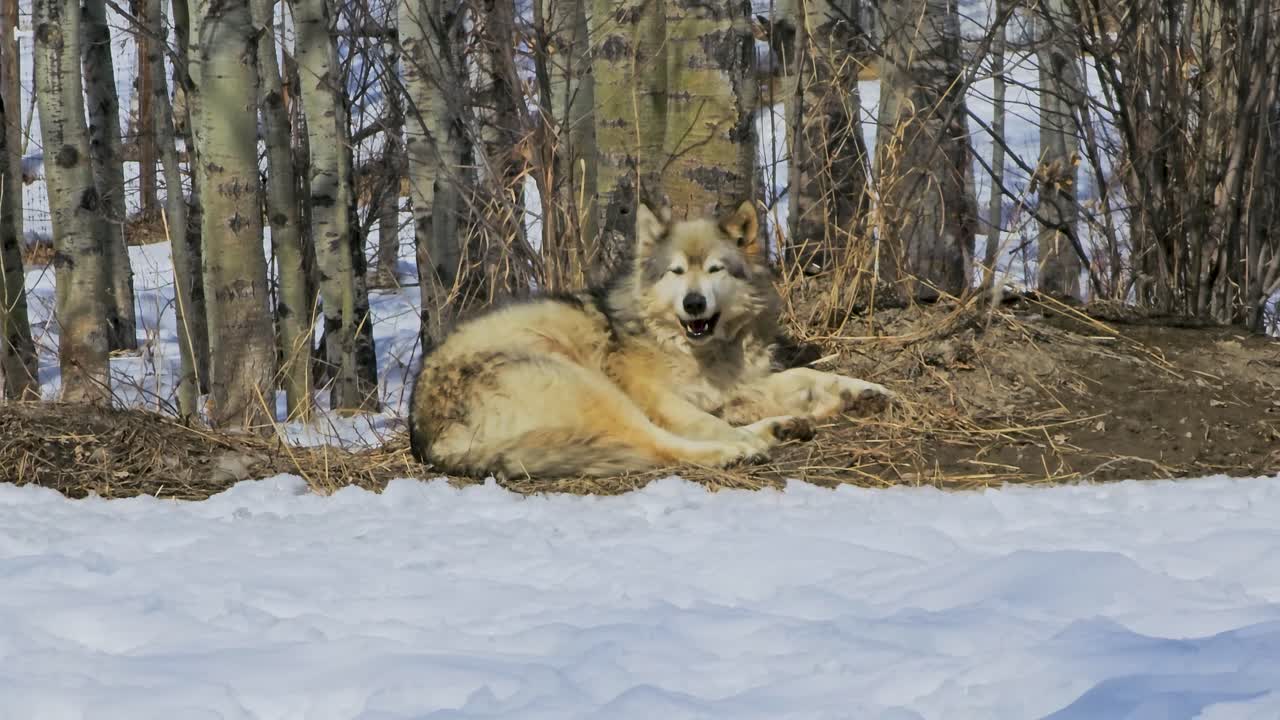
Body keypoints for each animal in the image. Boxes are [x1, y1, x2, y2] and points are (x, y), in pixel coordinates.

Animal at [408, 199, 894, 477]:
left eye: (715, 269)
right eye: (676, 271)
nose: (694, 304)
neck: (691, 346)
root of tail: (430, 437)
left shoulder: (737, 387)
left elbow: (808, 377)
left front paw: (865, 392)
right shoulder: (659, 396)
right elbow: (705, 421)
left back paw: (780, 428)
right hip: (594, 387)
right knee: (659, 445)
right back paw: (739, 451)